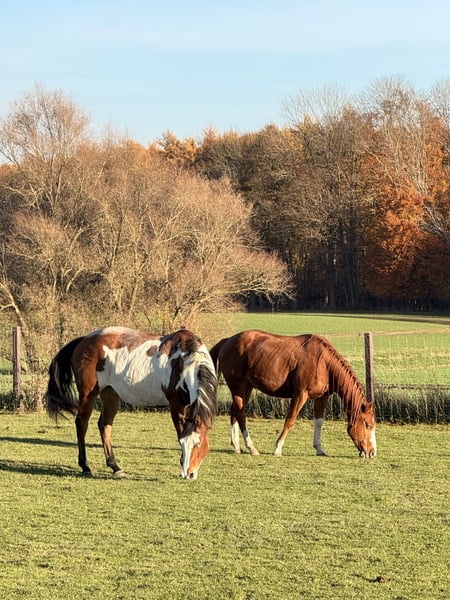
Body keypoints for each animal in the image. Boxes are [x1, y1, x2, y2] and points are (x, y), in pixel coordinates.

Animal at [45, 327, 218, 479]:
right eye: (182, 444)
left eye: (198, 444)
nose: (189, 474)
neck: (185, 360)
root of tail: (85, 339)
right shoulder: (176, 405)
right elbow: (179, 430)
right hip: (88, 394)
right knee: (82, 424)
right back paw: (85, 466)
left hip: (110, 394)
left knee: (104, 425)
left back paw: (115, 467)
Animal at [209, 330, 377, 458]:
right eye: (368, 425)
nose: (372, 452)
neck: (323, 363)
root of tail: (227, 341)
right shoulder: (300, 395)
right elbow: (290, 420)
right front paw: (277, 448)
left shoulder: (322, 397)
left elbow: (319, 422)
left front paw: (319, 449)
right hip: (237, 385)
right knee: (241, 413)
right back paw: (251, 448)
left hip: (247, 387)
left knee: (234, 411)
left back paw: (237, 447)